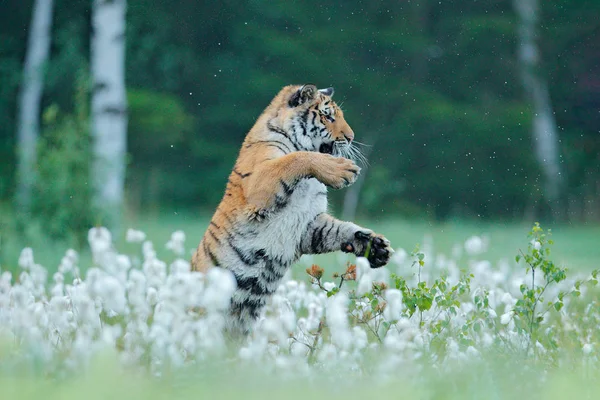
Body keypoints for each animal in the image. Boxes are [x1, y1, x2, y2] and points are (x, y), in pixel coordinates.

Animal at [190, 84, 392, 334]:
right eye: (328, 116)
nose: (350, 137)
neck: (309, 181)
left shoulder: (309, 225)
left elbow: (340, 230)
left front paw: (375, 247)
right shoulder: (259, 184)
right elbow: (296, 157)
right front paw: (341, 170)